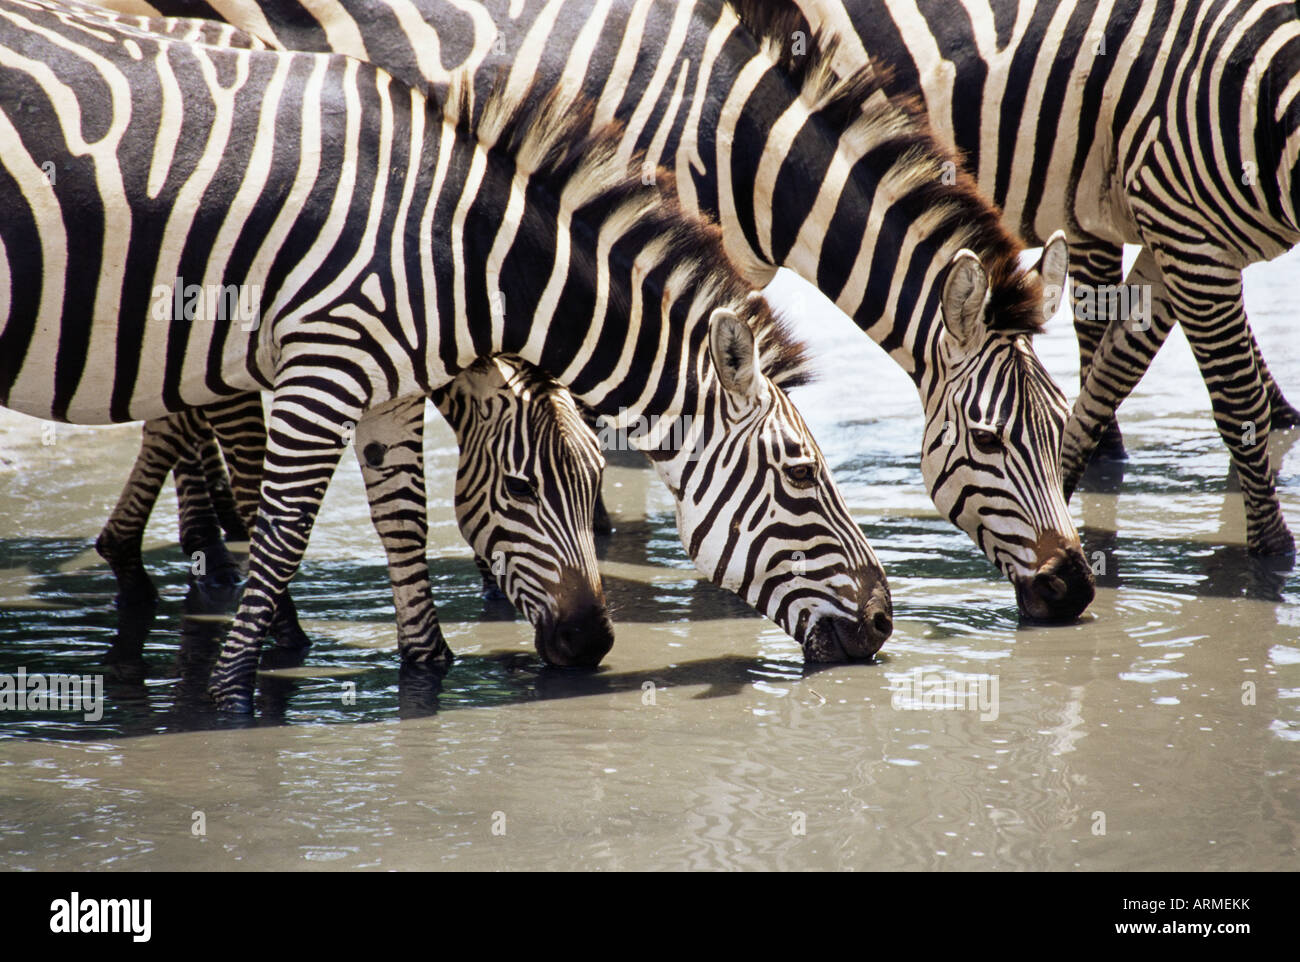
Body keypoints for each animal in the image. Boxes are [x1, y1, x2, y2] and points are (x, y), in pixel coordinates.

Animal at [0, 0, 894, 712]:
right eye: (801, 476)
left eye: (594, 484)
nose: (885, 618)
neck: (454, 249)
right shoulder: (322, 365)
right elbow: (285, 528)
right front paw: (229, 695)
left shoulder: (386, 384)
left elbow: (401, 518)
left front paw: (427, 671)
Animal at [795, 0, 1300, 551]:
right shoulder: (1185, 226)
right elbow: (1238, 400)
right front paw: (1273, 551)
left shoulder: (1172, 234)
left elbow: (1112, 369)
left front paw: (1068, 483)